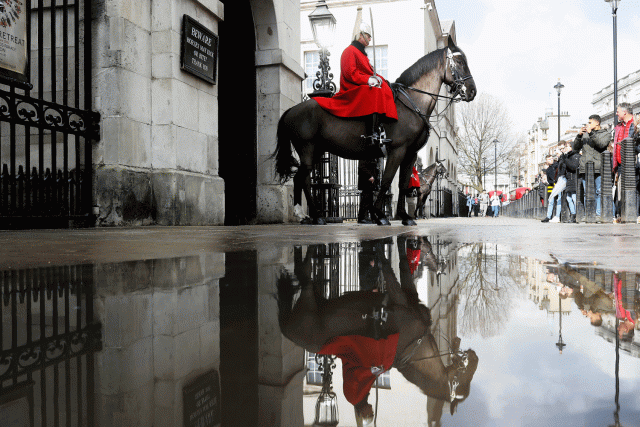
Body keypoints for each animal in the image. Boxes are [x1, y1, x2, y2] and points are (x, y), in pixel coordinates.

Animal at [274, 36, 476, 227]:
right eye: (459, 62)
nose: (472, 91)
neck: (412, 103)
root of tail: (292, 110)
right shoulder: (397, 150)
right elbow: (387, 180)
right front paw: (380, 215)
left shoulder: (410, 153)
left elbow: (403, 184)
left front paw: (405, 217)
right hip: (307, 149)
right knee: (304, 178)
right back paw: (315, 216)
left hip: (317, 150)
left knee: (300, 177)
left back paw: (304, 215)